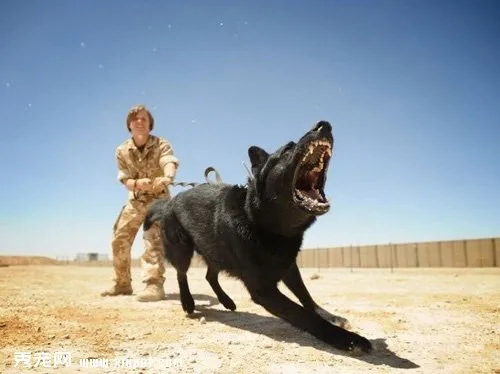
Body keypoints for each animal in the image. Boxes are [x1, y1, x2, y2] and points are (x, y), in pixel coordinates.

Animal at [144, 120, 372, 354]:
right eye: (287, 149)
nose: (324, 125)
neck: (266, 226)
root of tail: (169, 202)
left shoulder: (289, 267)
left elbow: (306, 296)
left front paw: (331, 317)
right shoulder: (263, 288)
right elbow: (303, 314)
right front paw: (347, 339)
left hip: (215, 251)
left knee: (210, 275)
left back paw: (226, 301)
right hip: (182, 250)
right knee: (181, 274)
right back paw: (188, 302)